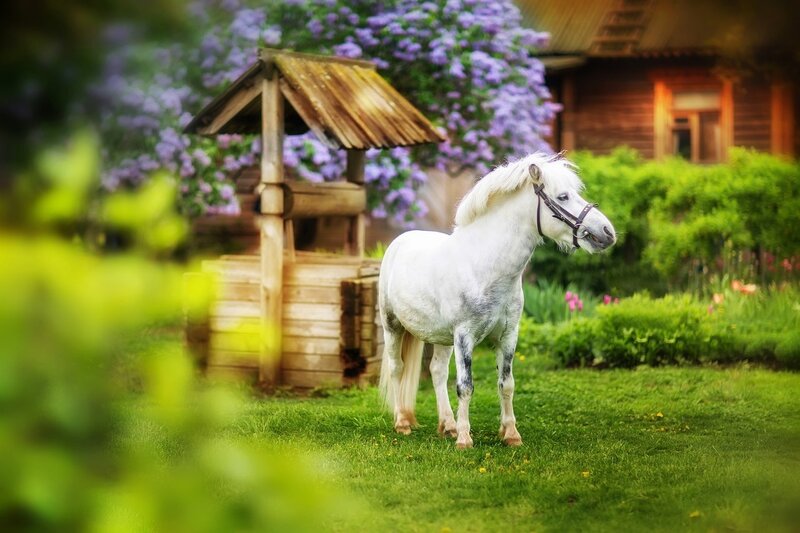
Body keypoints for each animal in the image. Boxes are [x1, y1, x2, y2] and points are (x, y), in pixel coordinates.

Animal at [377, 152, 616, 448]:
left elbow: (507, 384)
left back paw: (448, 426)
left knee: (437, 371)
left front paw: (510, 434)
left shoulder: (508, 336)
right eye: (563, 197)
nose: (607, 232)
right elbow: (465, 386)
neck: (485, 266)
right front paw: (465, 439)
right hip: (393, 326)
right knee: (397, 368)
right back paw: (403, 423)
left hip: (441, 337)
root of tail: (400, 241)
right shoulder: (464, 336)